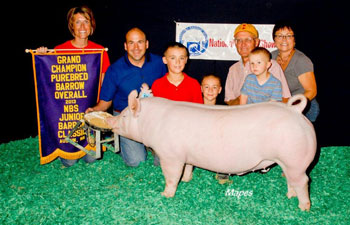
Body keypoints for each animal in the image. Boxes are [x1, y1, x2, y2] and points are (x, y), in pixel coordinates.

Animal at [106, 89, 318, 211]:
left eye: (124, 116)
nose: (111, 121)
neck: (152, 122)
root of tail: (295, 111)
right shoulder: (186, 156)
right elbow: (188, 168)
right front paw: (187, 180)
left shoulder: (171, 155)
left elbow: (171, 176)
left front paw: (166, 195)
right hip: (288, 162)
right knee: (291, 180)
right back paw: (289, 196)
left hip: (295, 160)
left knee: (303, 181)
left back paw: (303, 208)